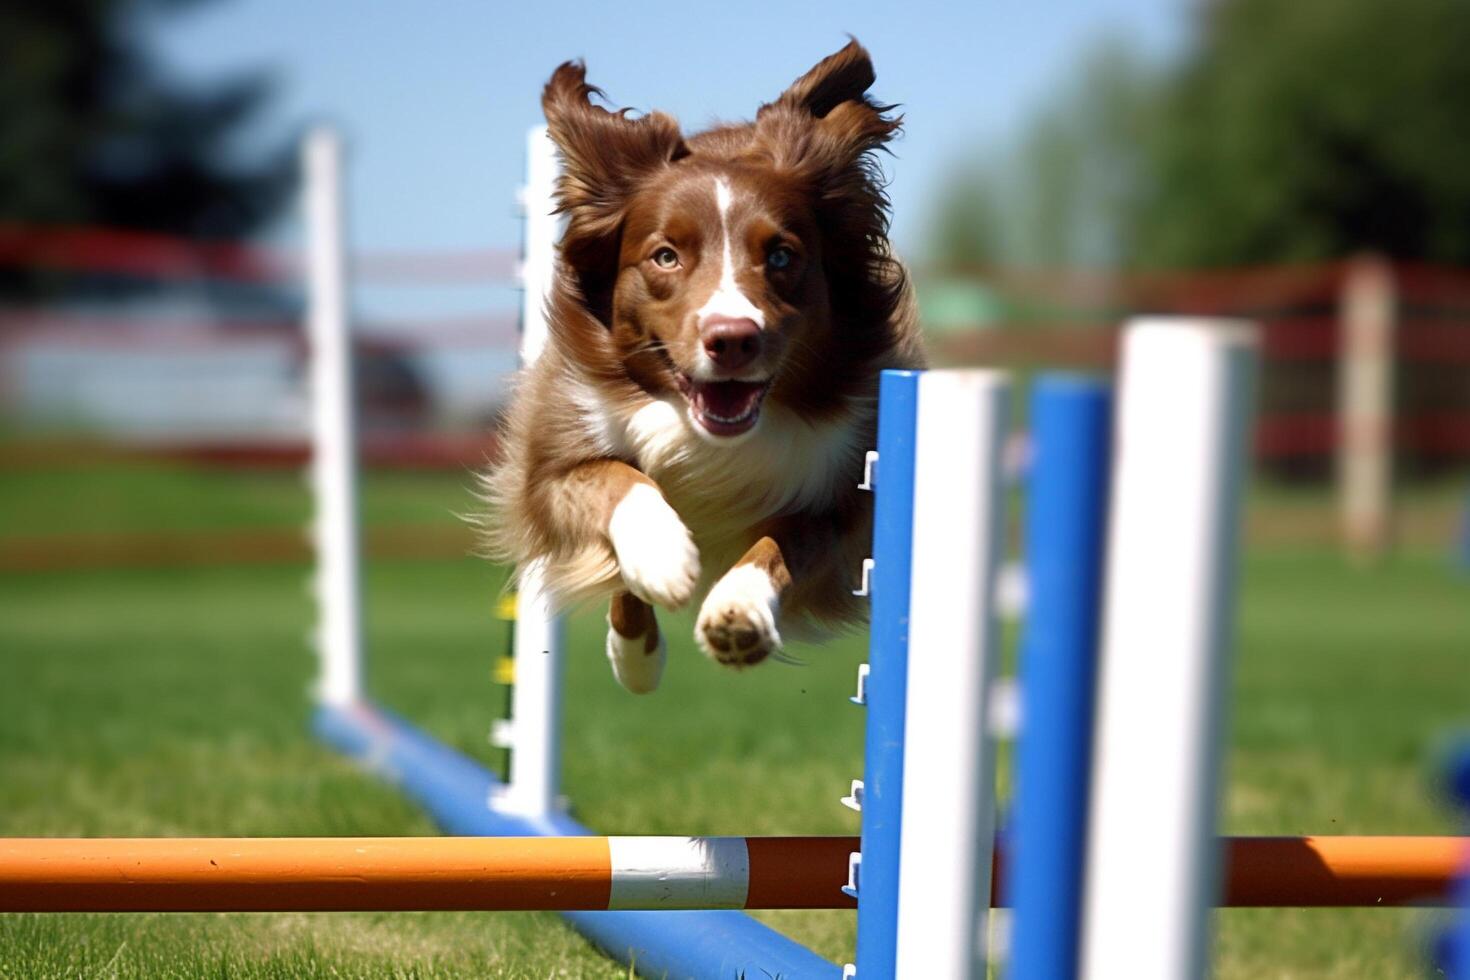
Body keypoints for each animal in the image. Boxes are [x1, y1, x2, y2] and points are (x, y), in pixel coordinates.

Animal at [482, 42, 917, 693]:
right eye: (666, 256)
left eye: (781, 255)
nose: (732, 340)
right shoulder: (550, 464)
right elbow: (614, 480)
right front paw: (659, 564)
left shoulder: (842, 498)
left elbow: (780, 543)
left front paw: (740, 611)